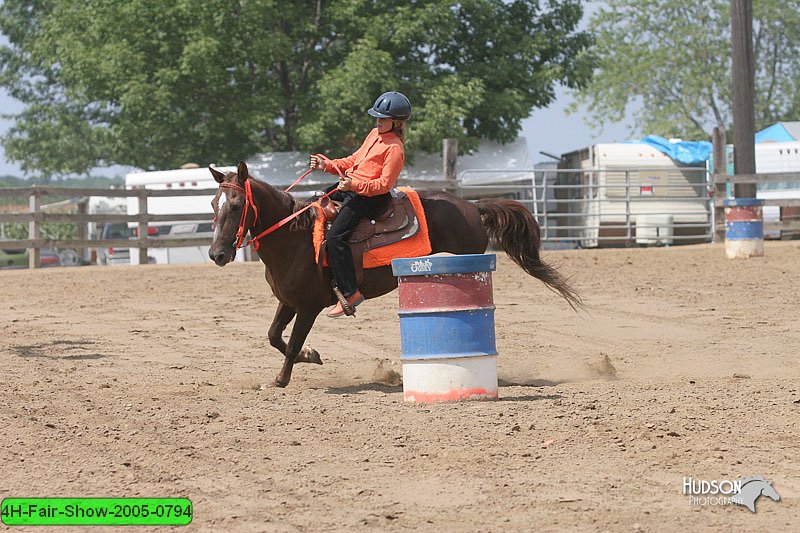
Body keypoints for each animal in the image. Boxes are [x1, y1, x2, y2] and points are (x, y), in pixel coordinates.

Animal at [206, 161, 580, 386]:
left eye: (237, 206)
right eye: (213, 204)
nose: (216, 254)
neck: (294, 236)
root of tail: (474, 206)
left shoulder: (309, 306)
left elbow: (293, 340)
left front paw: (280, 379)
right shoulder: (288, 301)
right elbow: (273, 335)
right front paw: (311, 357)